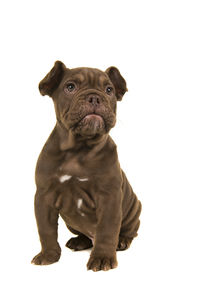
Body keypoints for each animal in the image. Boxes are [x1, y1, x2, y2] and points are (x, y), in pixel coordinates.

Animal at [31, 61, 141, 272]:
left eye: (109, 90)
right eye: (70, 87)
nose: (95, 97)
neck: (78, 148)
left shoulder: (109, 197)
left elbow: (107, 230)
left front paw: (103, 258)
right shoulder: (44, 197)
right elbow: (46, 230)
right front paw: (48, 255)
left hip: (134, 209)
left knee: (127, 231)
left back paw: (122, 241)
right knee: (85, 236)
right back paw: (79, 241)